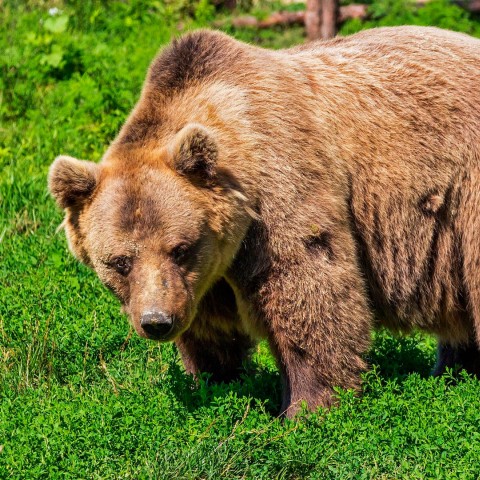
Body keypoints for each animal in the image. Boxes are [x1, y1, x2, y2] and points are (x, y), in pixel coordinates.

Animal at [47, 25, 480, 416]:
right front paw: (214, 380)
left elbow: (308, 290)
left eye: (180, 249)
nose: (157, 321)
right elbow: (211, 327)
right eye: (119, 261)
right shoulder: (208, 275)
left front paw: (306, 407)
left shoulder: (281, 188)